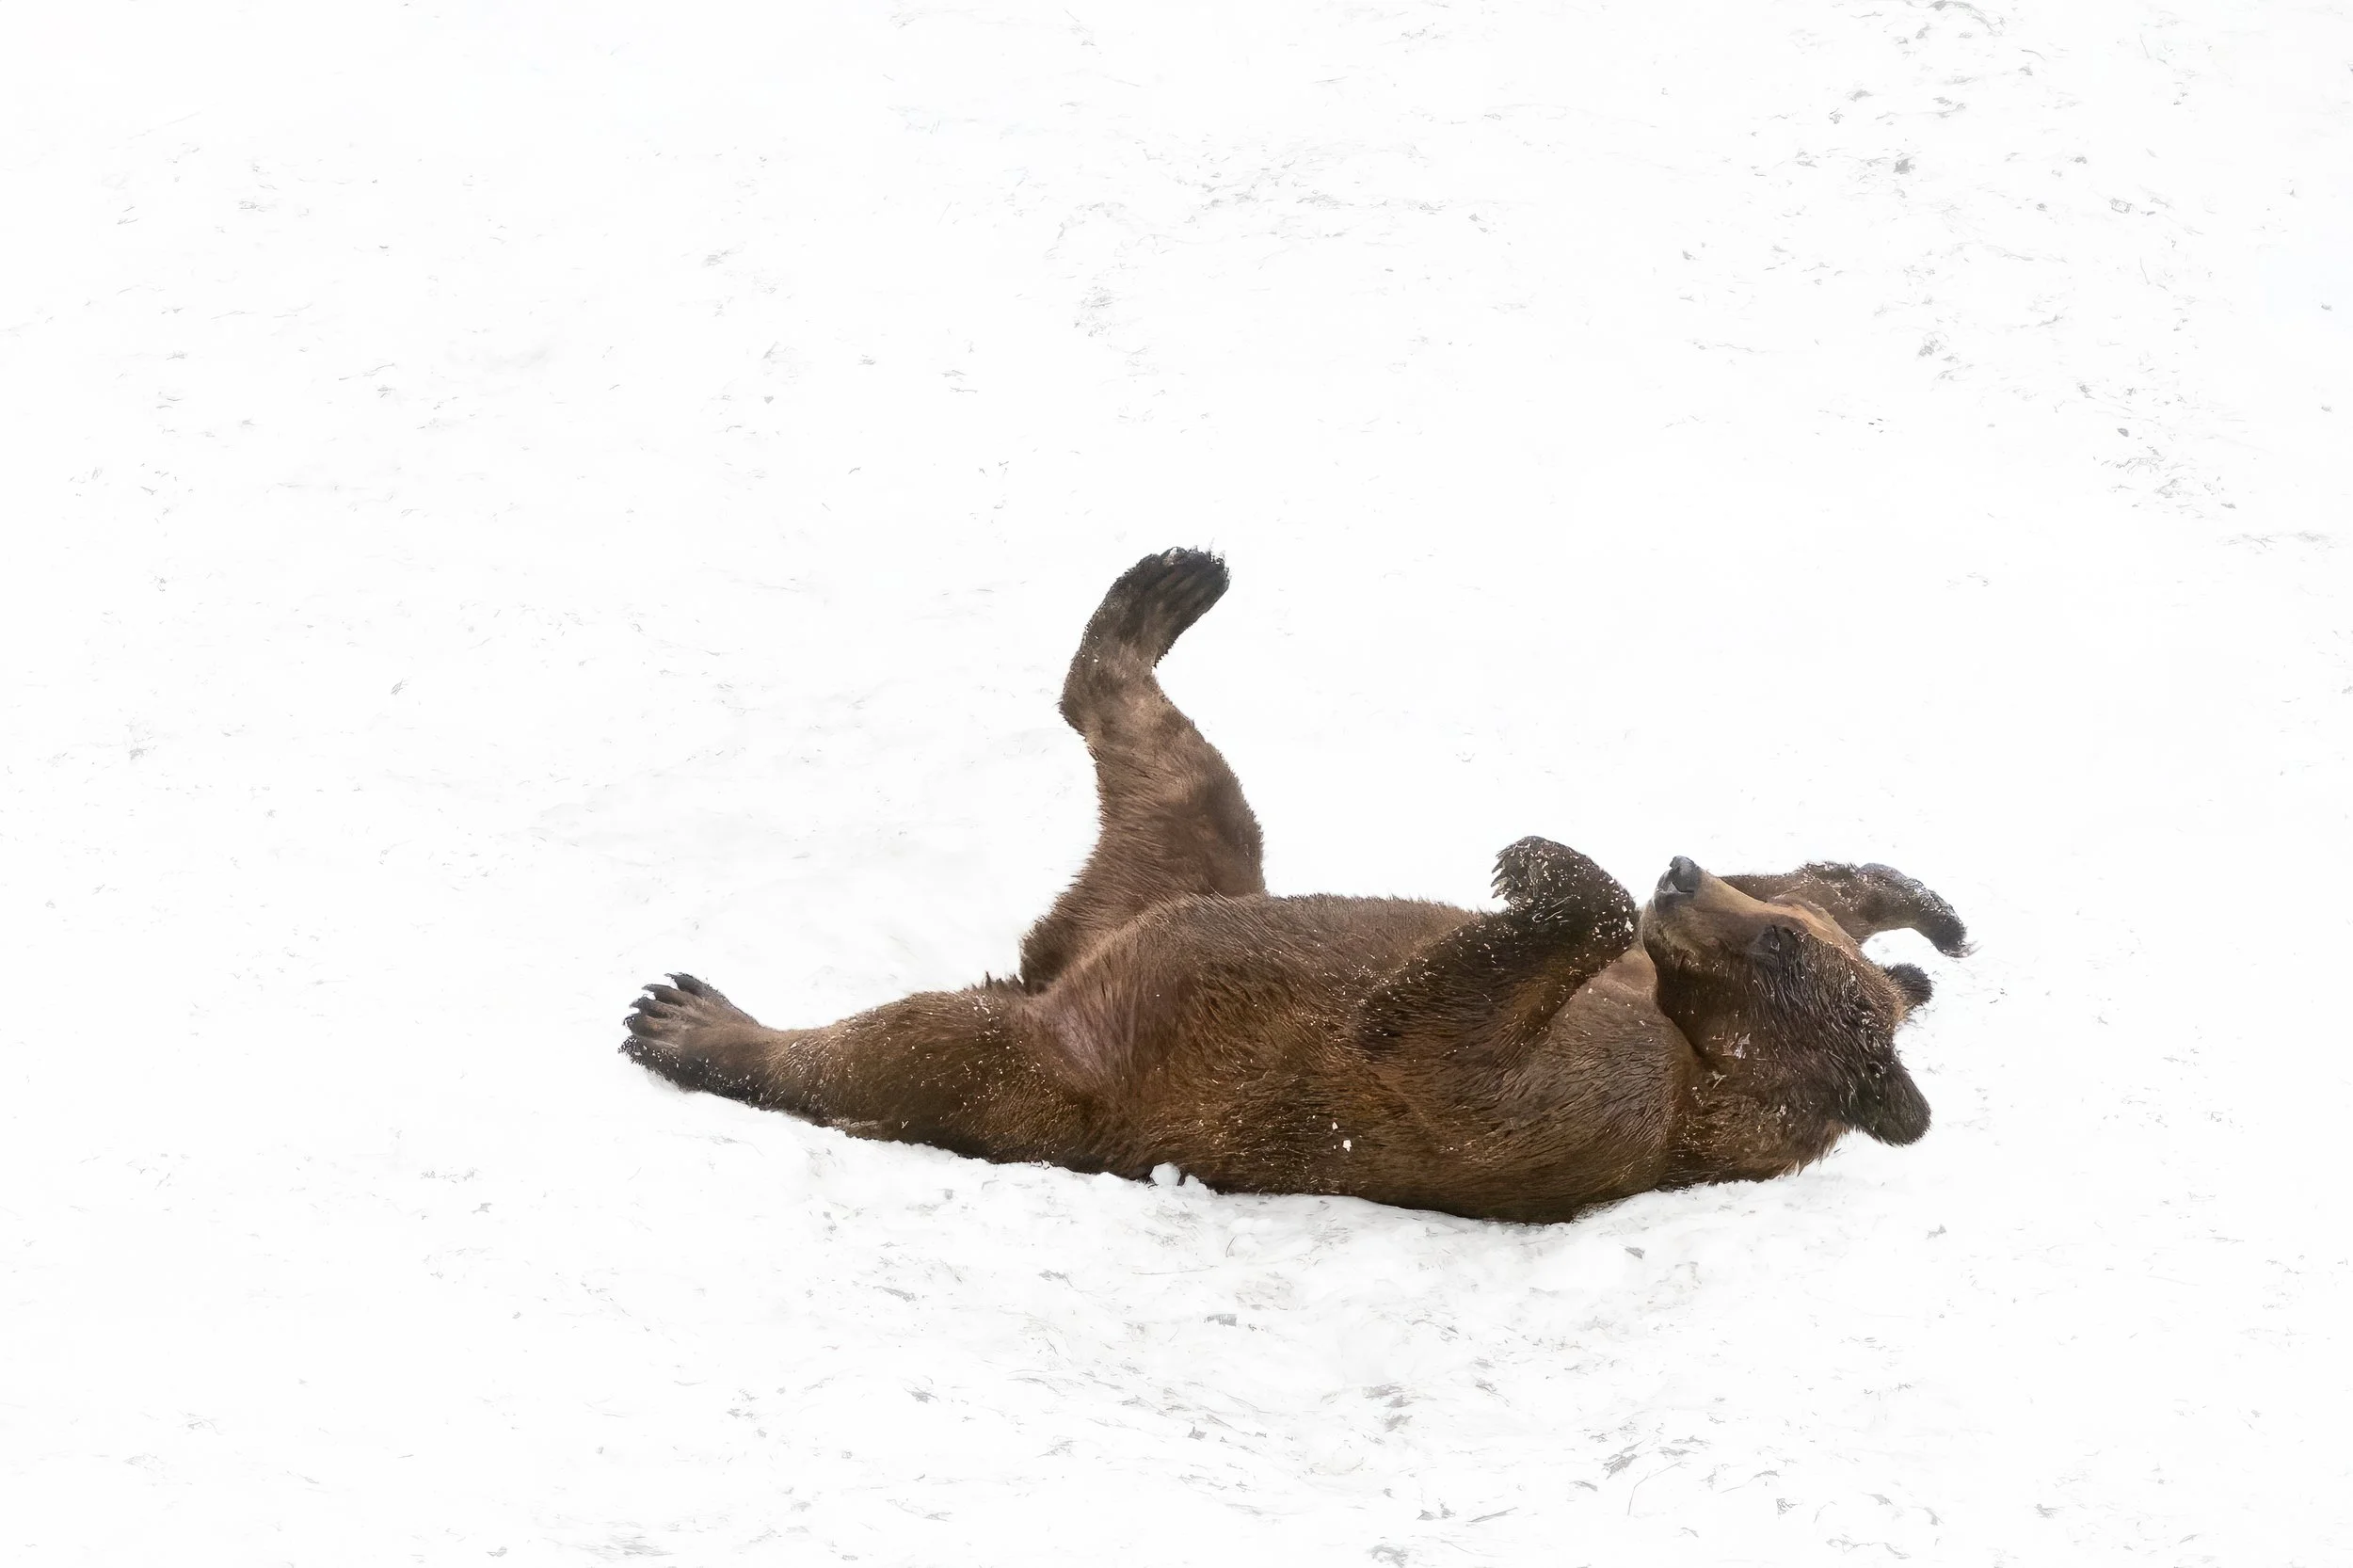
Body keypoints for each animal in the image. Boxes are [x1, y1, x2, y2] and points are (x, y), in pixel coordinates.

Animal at [623, 549, 1967, 1224]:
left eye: (1784, 956)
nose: (1679, 874)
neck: (1694, 1036)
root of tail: (1054, 967)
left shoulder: (1600, 1102)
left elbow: (1432, 1045)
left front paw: (1537, 859)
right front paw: (1925, 913)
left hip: (1090, 1058)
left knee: (927, 1047)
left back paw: (695, 1018)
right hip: (1162, 893)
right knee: (1189, 783)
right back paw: (1160, 591)